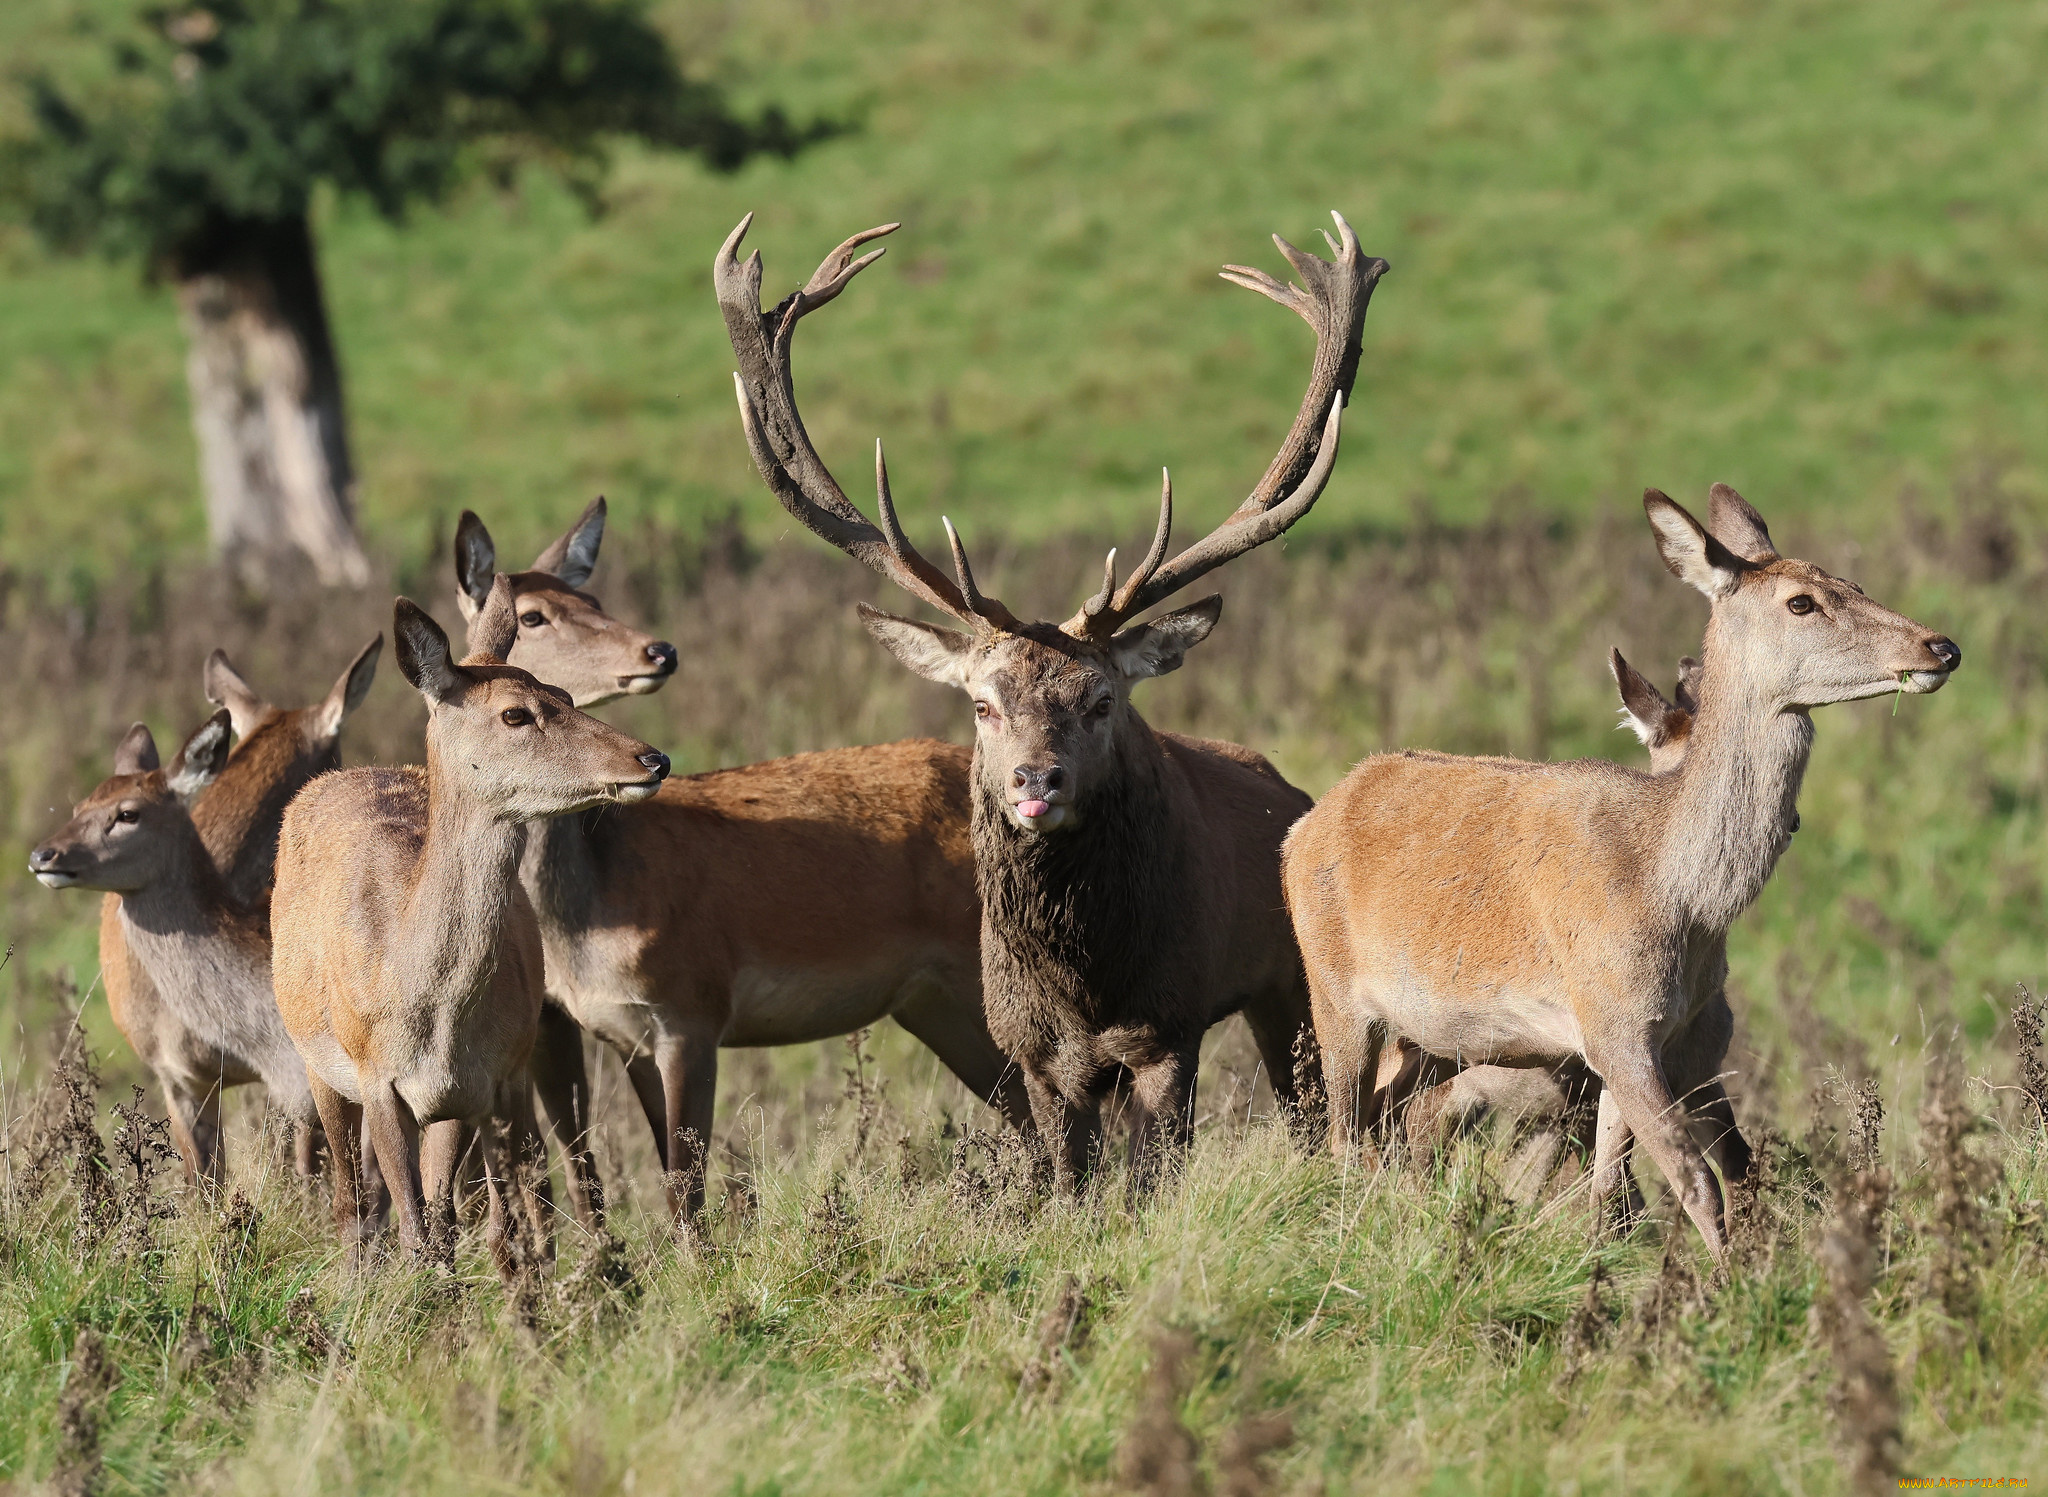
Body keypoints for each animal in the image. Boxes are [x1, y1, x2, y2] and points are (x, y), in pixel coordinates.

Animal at [268, 581, 667, 1269]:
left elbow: (440, 1226)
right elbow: (409, 1224)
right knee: (348, 1202)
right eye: (515, 715)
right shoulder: (376, 1079)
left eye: (564, 695)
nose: (652, 759)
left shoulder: (463, 1087)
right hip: (317, 1064)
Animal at [460, 503, 1040, 1228]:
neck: (594, 910)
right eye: (532, 615)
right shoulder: (618, 1033)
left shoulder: (693, 1005)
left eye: (591, 598)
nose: (659, 650)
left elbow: (683, 1189)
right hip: (935, 1002)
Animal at [1286, 489, 1957, 1253]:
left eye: (1857, 582)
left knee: (1388, 1120)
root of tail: (1306, 825)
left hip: (1431, 1037)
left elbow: (1614, 1185)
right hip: (1335, 991)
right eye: (1801, 602)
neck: (1680, 896)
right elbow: (1694, 1182)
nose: (1941, 646)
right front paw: (1730, 1281)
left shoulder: (1661, 1037)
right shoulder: (1614, 1021)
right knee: (1345, 1131)